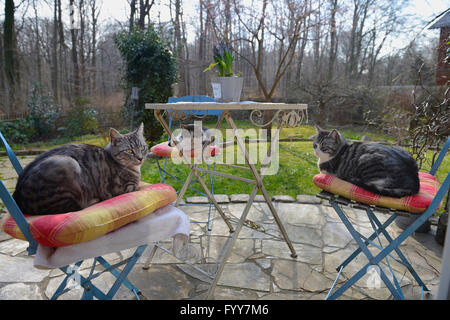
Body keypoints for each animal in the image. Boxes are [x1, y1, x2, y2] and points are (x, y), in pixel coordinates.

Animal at [12, 122, 148, 215]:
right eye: (129, 151)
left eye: (142, 147)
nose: (140, 158)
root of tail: (17, 195)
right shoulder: (123, 188)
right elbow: (136, 186)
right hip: (68, 165)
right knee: (71, 208)